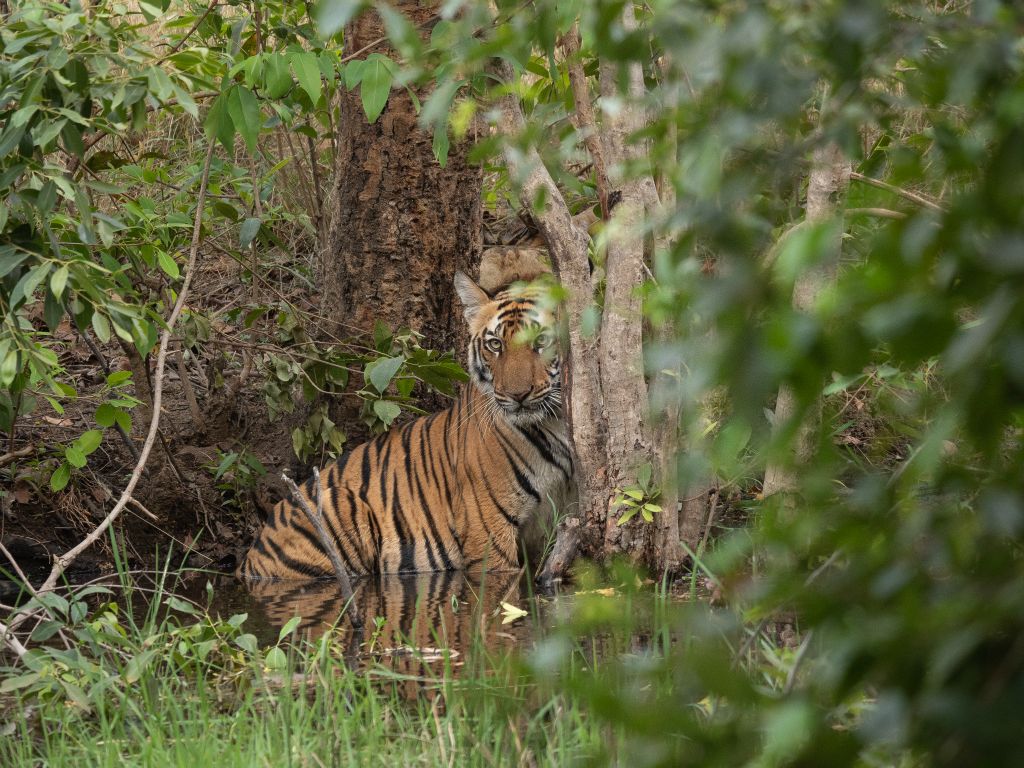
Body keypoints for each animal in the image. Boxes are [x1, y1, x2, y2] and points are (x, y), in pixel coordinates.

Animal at [239, 268, 577, 581]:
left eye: (542, 341)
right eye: (495, 345)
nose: (517, 395)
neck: (554, 423)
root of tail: (250, 557)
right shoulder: (488, 532)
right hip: (339, 504)